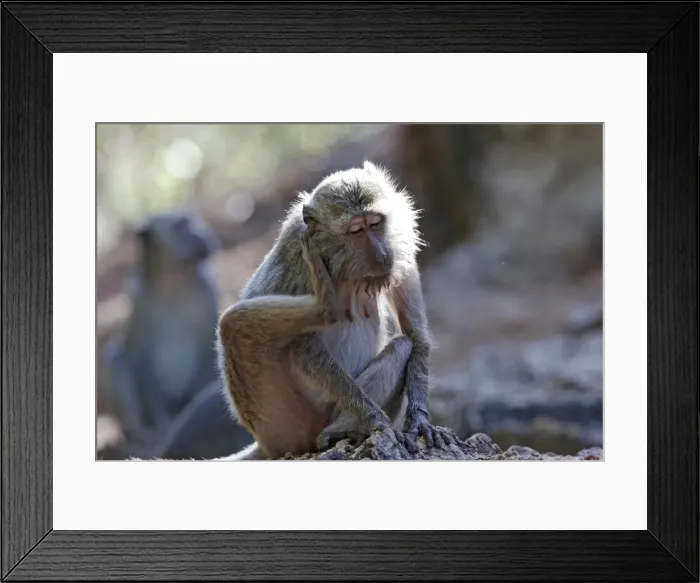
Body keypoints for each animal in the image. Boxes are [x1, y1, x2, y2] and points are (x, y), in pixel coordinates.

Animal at [103, 210, 222, 455]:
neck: (174, 281)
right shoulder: (140, 300)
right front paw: (162, 422)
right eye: (181, 226)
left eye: (195, 222)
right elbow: (141, 357)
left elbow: (208, 347)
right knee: (117, 360)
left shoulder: (207, 290)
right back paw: (139, 433)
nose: (202, 233)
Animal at [215, 161, 453, 461]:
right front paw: (376, 420)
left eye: (376, 223)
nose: (381, 256)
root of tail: (266, 445)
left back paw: (343, 428)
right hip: (283, 423)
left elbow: (416, 334)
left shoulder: (402, 252)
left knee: (403, 346)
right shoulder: (298, 247)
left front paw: (420, 421)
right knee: (234, 323)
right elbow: (303, 346)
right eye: (356, 231)